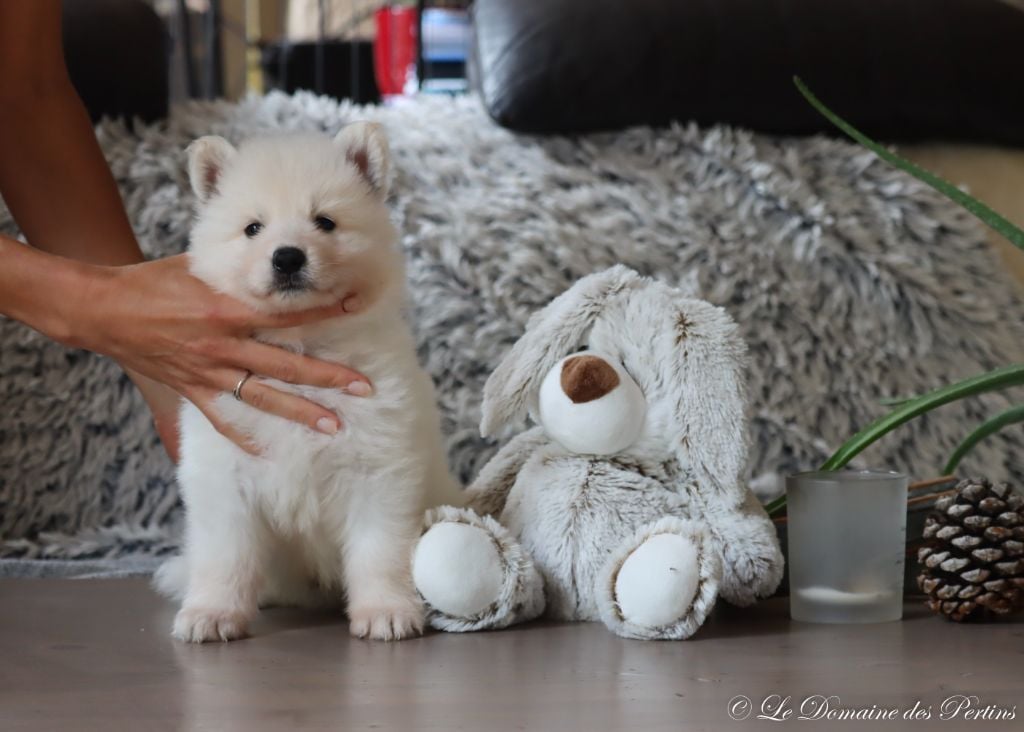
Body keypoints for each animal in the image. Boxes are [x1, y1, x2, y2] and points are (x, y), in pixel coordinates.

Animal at [154, 123, 460, 642]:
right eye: (253, 228)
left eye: (325, 222)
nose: (287, 258)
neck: (301, 345)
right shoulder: (224, 474)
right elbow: (224, 555)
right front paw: (212, 612)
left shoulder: (381, 468)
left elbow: (379, 550)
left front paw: (385, 610)